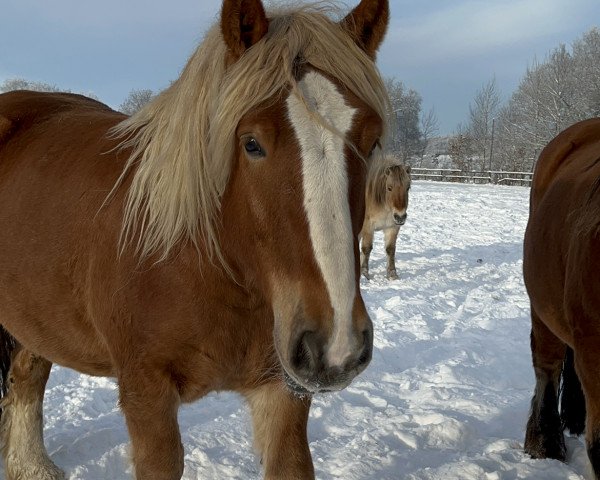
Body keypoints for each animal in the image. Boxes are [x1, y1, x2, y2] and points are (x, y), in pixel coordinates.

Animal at [0, 1, 392, 478]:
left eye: (371, 142)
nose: (336, 347)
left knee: (27, 376)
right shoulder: (146, 393)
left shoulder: (284, 390)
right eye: (251, 143)